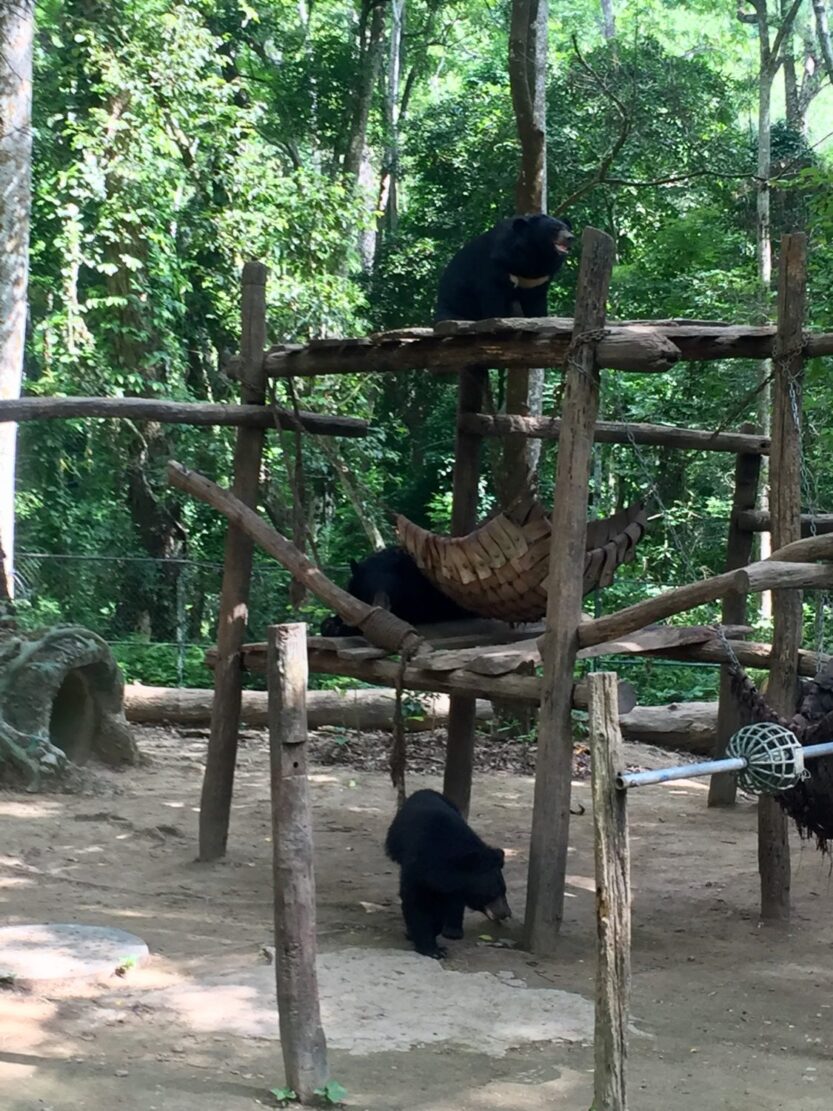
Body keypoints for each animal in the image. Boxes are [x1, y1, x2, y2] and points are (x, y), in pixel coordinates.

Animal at [322, 544, 475, 635]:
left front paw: (342, 627)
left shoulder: (418, 598)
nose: (382, 607)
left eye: (392, 590)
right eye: (368, 591)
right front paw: (331, 624)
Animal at [386, 786, 515, 959]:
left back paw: (453, 930)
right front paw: (431, 948)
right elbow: (415, 901)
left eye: (504, 890)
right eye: (491, 894)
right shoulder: (417, 866)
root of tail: (425, 790)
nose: (506, 913)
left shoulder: (450, 884)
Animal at [433, 212, 577, 324]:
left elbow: (536, 302)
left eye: (567, 229)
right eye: (554, 229)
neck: (535, 254)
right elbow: (492, 294)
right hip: (453, 305)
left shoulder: (539, 278)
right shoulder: (498, 262)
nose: (570, 238)